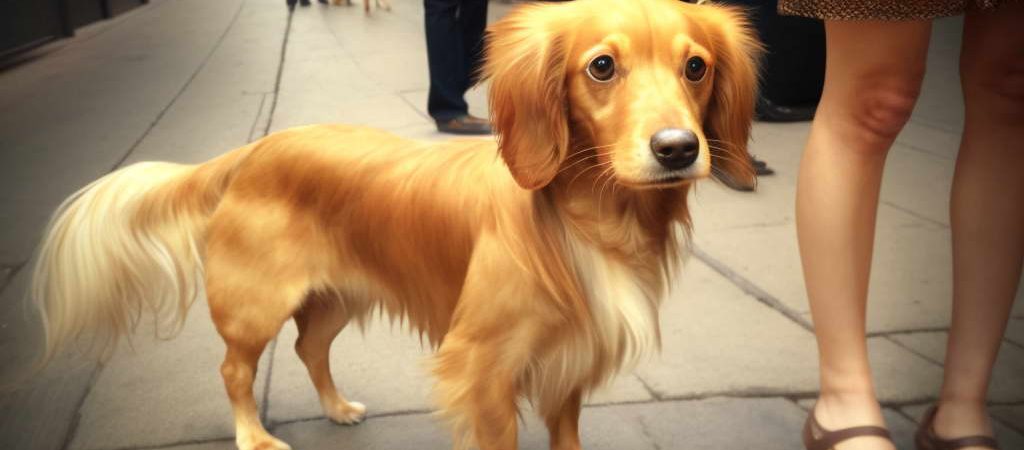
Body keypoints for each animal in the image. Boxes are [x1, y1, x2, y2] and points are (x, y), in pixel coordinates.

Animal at [32, 0, 761, 448]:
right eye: (601, 66)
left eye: (696, 67)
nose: (678, 149)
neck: (589, 220)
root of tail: (253, 151)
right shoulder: (483, 371)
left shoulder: (567, 366)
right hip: (255, 306)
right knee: (235, 372)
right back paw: (254, 434)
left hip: (334, 298)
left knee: (310, 349)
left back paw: (335, 408)